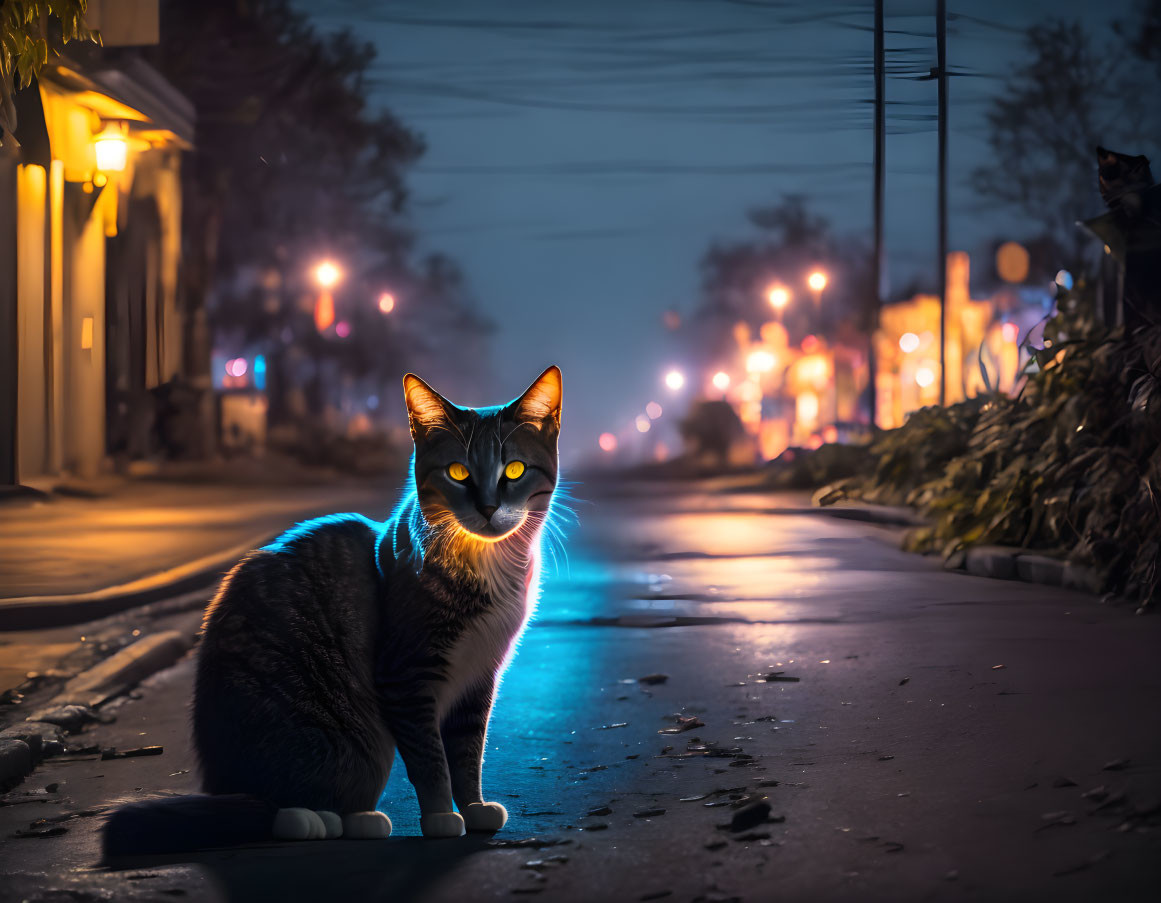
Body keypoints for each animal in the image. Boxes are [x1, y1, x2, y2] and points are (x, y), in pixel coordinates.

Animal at [102, 366, 564, 849]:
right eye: (458, 472)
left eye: (514, 469)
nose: (489, 508)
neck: (486, 562)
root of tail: (223, 787)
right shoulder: (406, 675)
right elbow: (430, 758)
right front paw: (440, 816)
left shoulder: (480, 677)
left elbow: (467, 752)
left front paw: (474, 807)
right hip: (342, 743)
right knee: (275, 810)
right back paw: (315, 820)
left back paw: (362, 820)